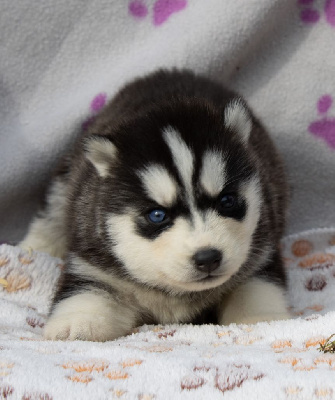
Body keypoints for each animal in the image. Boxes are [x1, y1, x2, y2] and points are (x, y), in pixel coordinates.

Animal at [20, 70, 292, 342]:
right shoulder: (92, 264)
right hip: (64, 180)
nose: (208, 258)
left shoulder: (261, 254)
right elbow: (87, 292)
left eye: (227, 201)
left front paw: (261, 318)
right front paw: (75, 324)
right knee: (51, 216)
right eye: (157, 215)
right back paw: (33, 249)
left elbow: (255, 289)